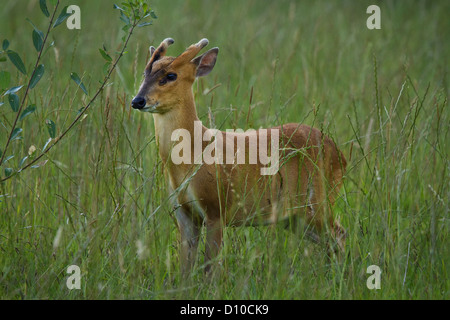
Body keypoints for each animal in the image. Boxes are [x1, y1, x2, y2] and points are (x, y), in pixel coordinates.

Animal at [131, 37, 348, 272]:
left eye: (171, 75)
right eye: (145, 73)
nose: (138, 100)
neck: (194, 154)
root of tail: (340, 154)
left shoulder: (216, 207)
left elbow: (209, 268)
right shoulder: (184, 213)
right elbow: (185, 268)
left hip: (317, 201)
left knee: (340, 235)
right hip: (294, 216)